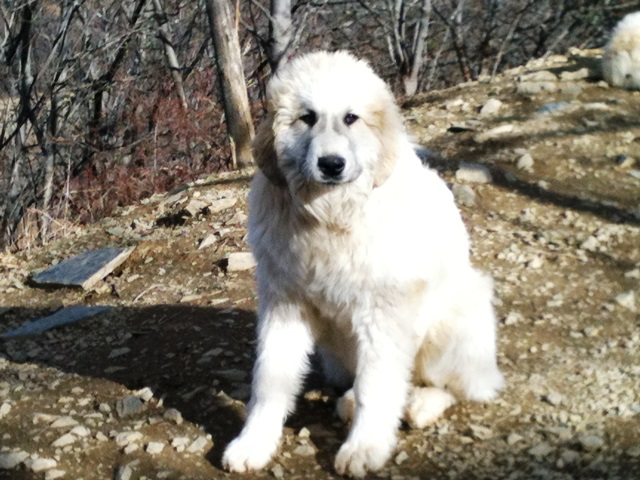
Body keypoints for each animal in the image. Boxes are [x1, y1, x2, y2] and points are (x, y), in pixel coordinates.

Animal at [222, 50, 502, 478]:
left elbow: (378, 386)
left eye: (351, 118)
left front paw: (365, 446)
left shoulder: (384, 312)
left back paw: (420, 404)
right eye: (307, 117)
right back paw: (350, 401)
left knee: (461, 387)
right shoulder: (284, 304)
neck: (331, 217)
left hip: (455, 317)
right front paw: (254, 443)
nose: (331, 164)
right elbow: (270, 380)